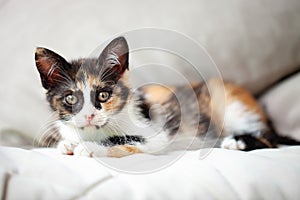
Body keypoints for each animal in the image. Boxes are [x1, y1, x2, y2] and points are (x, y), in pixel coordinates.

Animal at [35, 36, 300, 157]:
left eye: (103, 94)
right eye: (71, 98)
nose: (89, 116)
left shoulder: (156, 134)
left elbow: (122, 140)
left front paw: (88, 147)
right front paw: (68, 143)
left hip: (229, 103)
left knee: (269, 138)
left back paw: (236, 142)